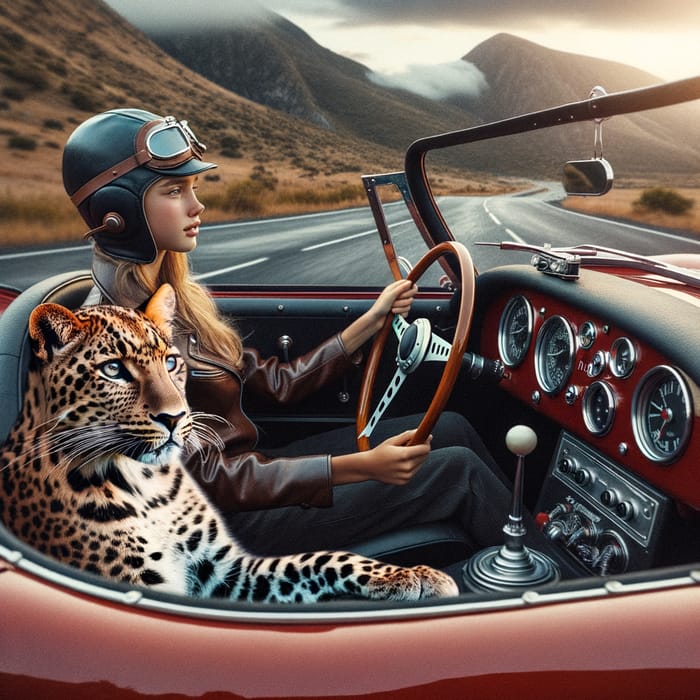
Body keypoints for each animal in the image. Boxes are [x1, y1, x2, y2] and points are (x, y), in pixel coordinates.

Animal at [1, 284, 460, 600]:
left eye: (171, 361)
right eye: (113, 369)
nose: (176, 418)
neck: (148, 485)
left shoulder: (226, 573)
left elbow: (322, 558)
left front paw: (413, 575)